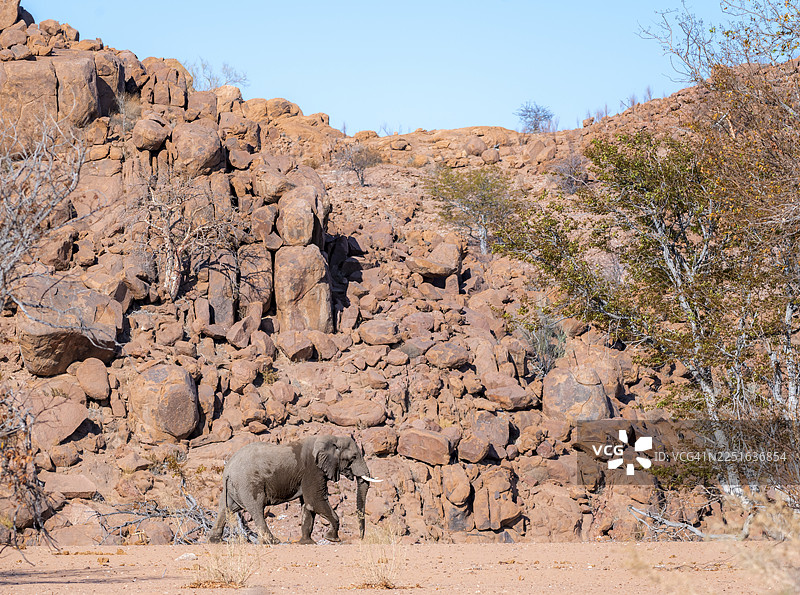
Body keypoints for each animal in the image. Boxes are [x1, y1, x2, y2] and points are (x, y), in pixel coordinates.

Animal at [208, 435, 381, 545]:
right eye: (353, 457)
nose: (361, 538)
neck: (331, 438)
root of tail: (228, 469)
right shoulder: (312, 469)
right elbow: (315, 501)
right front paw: (332, 539)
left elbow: (307, 505)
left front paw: (307, 543)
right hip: (248, 483)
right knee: (256, 508)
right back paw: (273, 541)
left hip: (232, 487)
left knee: (226, 508)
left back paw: (215, 541)